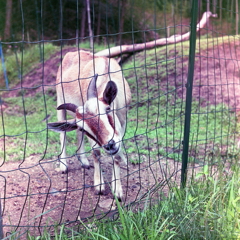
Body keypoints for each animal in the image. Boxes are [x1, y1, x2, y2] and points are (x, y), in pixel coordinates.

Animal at [47, 49, 131, 200]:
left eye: (107, 109)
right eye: (85, 129)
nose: (109, 145)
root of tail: (71, 53)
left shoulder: (122, 120)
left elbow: (116, 155)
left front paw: (117, 191)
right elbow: (96, 152)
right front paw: (99, 185)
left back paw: (84, 161)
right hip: (60, 102)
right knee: (63, 134)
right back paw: (64, 166)